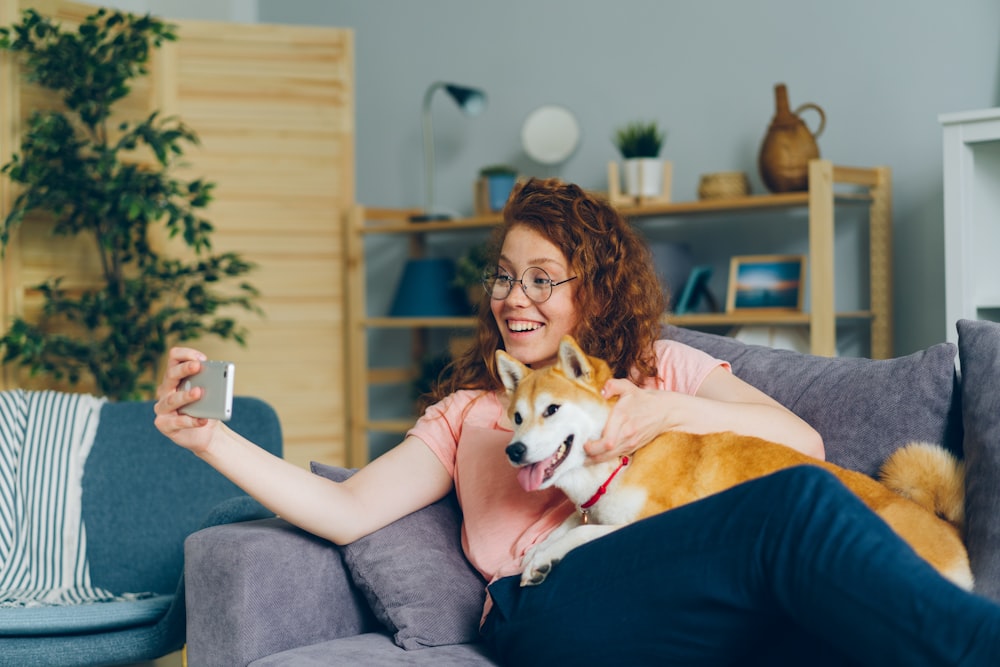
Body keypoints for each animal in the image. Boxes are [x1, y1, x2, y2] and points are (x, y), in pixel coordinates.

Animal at [496, 334, 972, 588]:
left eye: (552, 409)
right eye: (517, 417)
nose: (513, 451)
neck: (623, 462)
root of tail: (949, 528)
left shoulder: (647, 521)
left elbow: (578, 536)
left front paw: (545, 557)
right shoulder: (591, 508)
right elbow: (562, 528)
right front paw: (537, 554)